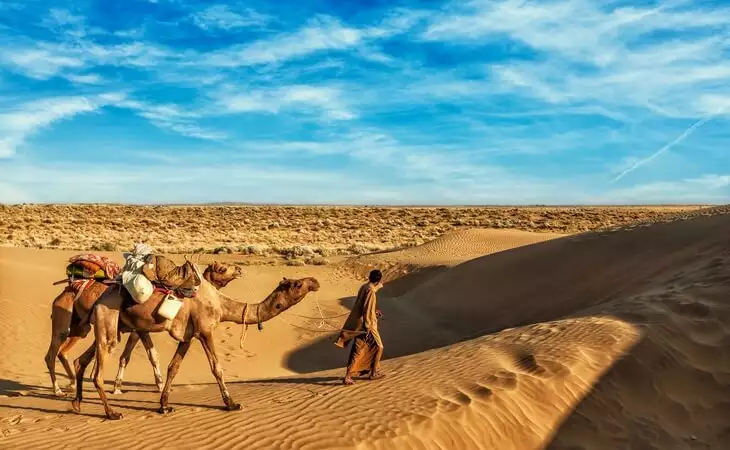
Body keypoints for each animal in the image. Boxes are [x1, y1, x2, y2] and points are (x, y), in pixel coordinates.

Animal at [45, 260, 245, 398]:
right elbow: (136, 356)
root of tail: (63, 292)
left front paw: (122, 386)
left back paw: (71, 384)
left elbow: (138, 355)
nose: (239, 270)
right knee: (53, 353)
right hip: (65, 322)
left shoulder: (138, 330)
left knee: (67, 351)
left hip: (81, 327)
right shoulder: (138, 330)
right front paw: (122, 387)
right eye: (222, 269)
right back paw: (58, 390)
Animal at [71, 268, 318, 420]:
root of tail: (96, 298)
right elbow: (217, 368)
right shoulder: (205, 330)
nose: (315, 282)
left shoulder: (187, 337)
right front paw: (231, 403)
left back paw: (77, 403)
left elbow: (174, 367)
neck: (221, 305)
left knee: (81, 360)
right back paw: (112, 413)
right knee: (97, 373)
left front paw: (164, 405)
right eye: (297, 284)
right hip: (108, 320)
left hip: (107, 326)